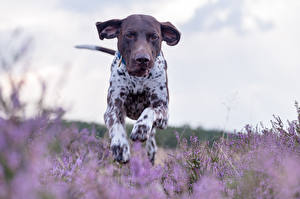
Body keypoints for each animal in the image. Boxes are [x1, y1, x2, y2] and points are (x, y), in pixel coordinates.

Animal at [77, 13, 180, 163]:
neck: (138, 78)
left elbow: (150, 110)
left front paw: (141, 128)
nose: (142, 59)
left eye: (154, 36)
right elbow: (116, 125)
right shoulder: (113, 109)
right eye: (129, 35)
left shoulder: (163, 112)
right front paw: (120, 146)